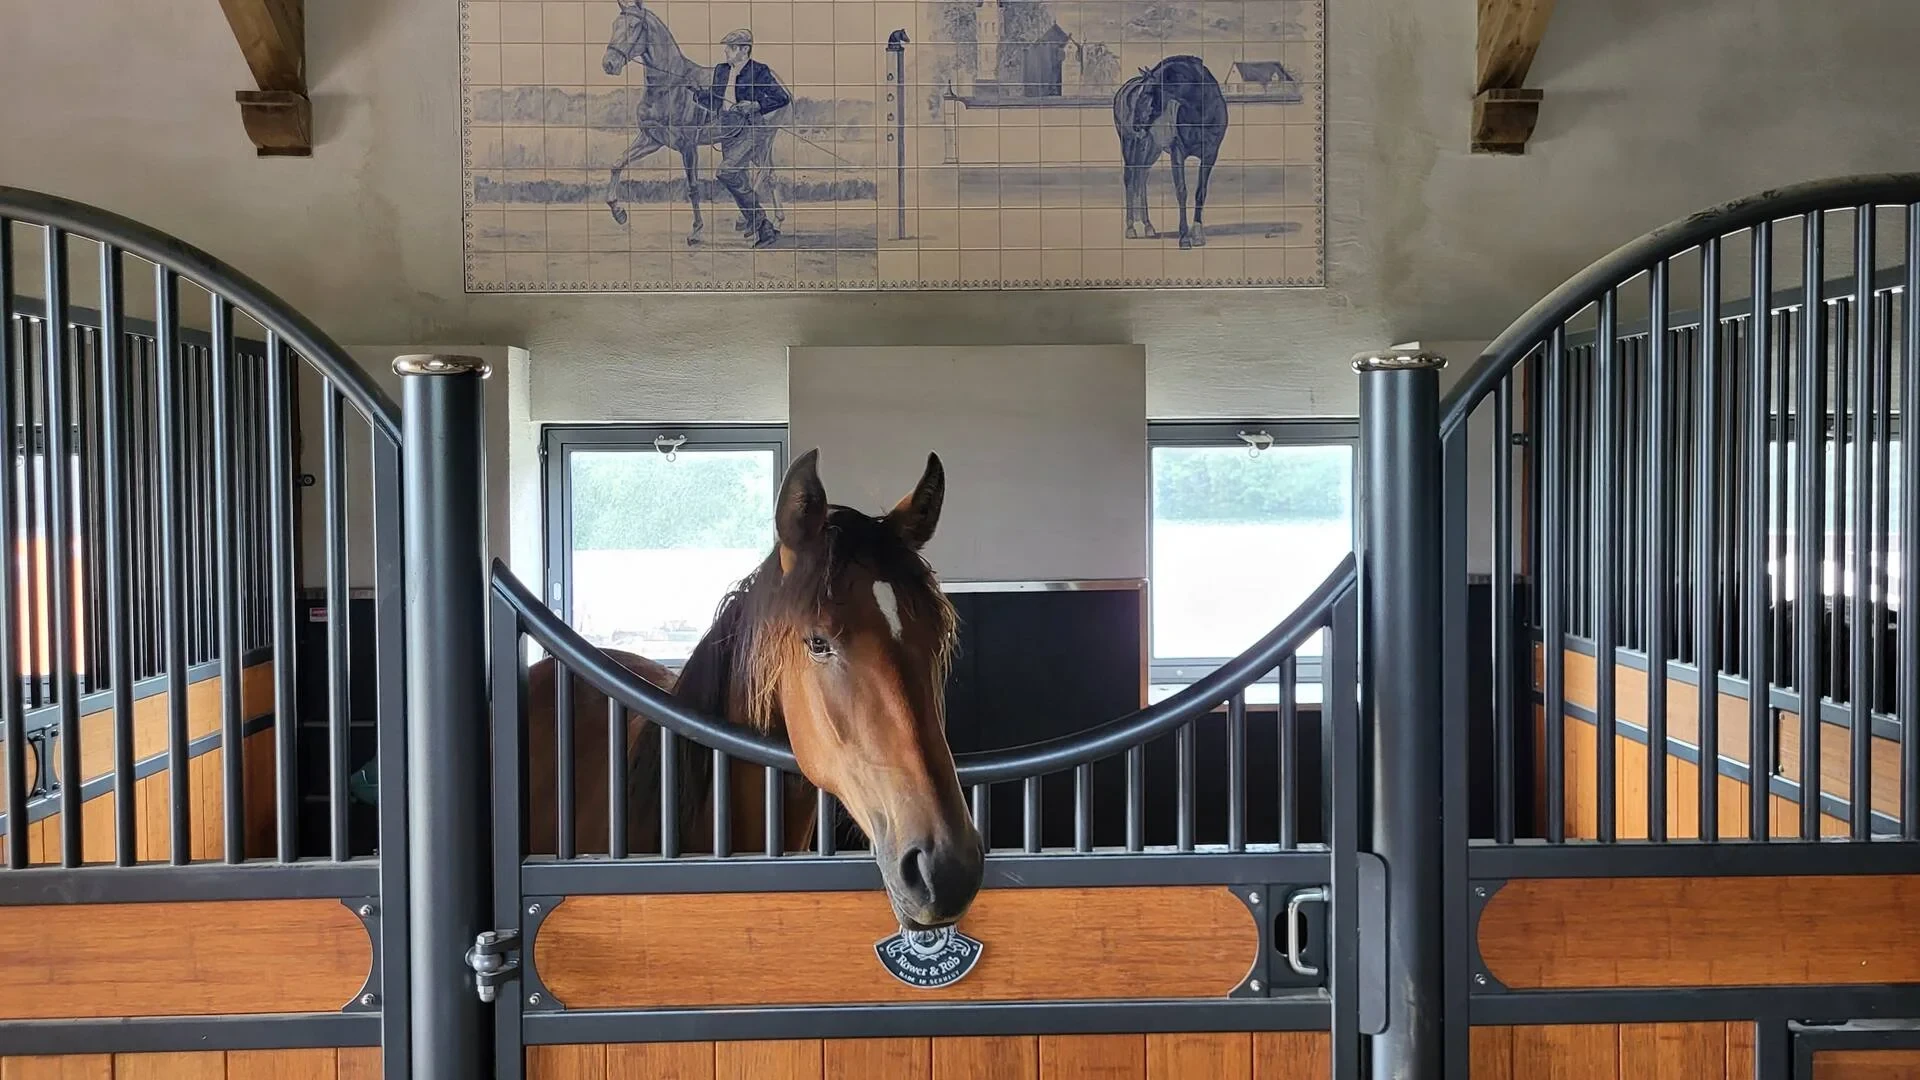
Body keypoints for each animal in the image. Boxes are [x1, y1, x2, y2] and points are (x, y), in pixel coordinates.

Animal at [598, 0, 786, 246]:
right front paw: (618, 212)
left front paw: (696, 231)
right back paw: (776, 223)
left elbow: (693, 188)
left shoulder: (688, 146)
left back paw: (746, 221)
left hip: (761, 141)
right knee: (769, 175)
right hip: (752, 147)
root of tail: (781, 85)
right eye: (614, 25)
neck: (670, 86)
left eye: (633, 26)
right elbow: (617, 163)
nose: (609, 64)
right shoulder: (651, 139)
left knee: (762, 173)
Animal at [1113, 56, 1228, 249]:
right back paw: (1130, 228)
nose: (1136, 125)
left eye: (1147, 93)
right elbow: (1181, 191)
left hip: (1151, 148)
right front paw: (1184, 238)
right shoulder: (1177, 153)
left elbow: (1200, 192)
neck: (1201, 111)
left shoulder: (1210, 155)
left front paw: (1198, 235)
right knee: (1129, 179)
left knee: (1142, 177)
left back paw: (1148, 226)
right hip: (1129, 143)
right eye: (1140, 94)